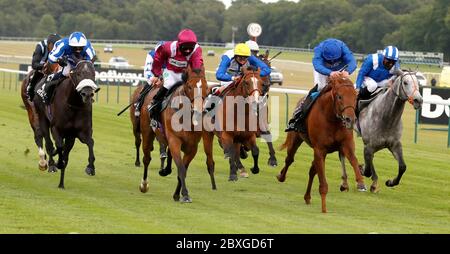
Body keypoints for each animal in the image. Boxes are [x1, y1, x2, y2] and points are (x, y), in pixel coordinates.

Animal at [278, 73, 366, 212]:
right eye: (339, 96)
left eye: (355, 96)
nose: (350, 119)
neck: (332, 119)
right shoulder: (320, 149)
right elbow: (323, 184)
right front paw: (324, 208)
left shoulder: (346, 145)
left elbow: (354, 160)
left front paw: (360, 182)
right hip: (296, 138)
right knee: (290, 159)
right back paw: (281, 176)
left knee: (312, 170)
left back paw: (307, 197)